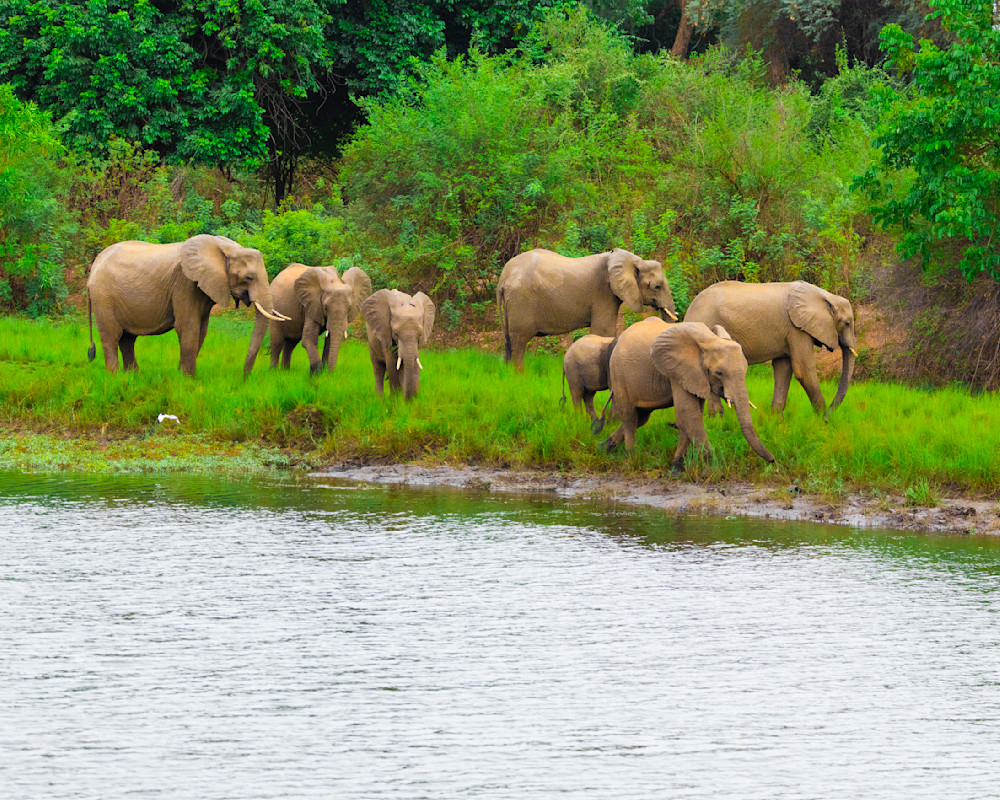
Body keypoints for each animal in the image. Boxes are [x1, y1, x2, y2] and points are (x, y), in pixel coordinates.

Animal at [87, 234, 288, 376]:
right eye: (249, 277)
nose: (244, 377)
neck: (227, 248)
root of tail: (93, 268)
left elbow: (201, 331)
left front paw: (180, 375)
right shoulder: (185, 283)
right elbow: (188, 327)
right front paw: (189, 378)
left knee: (128, 339)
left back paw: (133, 376)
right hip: (103, 297)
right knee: (112, 336)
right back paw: (115, 376)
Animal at [243, 264, 372, 377]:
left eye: (349, 309)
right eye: (325, 308)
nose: (330, 374)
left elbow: (330, 340)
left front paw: (324, 375)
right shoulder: (310, 305)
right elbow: (308, 339)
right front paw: (317, 376)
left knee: (290, 344)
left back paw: (285, 372)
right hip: (275, 310)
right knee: (277, 342)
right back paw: (274, 373)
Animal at [496, 247, 677, 370]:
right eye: (657, 287)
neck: (633, 260)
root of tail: (503, 278)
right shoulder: (604, 294)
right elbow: (604, 331)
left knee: (508, 340)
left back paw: (508, 374)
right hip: (521, 301)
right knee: (519, 341)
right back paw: (519, 375)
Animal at [600, 318, 775, 470]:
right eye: (718, 373)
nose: (773, 460)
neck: (709, 340)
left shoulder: (696, 376)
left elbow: (692, 414)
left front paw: (677, 467)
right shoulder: (679, 369)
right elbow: (688, 414)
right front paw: (715, 466)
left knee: (641, 416)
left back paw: (604, 447)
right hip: (618, 373)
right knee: (630, 416)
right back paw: (632, 457)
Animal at [684, 280, 857, 420]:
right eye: (847, 323)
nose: (828, 417)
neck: (825, 296)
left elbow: (784, 368)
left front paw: (776, 421)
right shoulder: (796, 328)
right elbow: (803, 370)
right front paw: (820, 419)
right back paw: (717, 420)